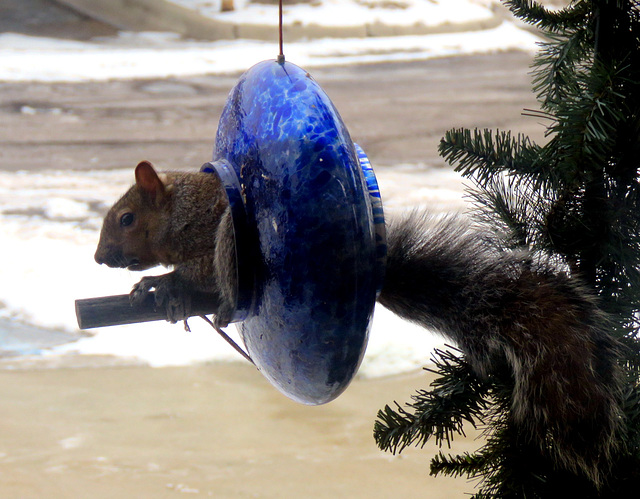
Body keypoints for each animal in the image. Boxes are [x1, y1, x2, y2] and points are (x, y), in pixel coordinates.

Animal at [97, 160, 624, 484]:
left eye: (126, 219)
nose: (99, 258)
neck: (177, 214)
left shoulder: (207, 237)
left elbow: (197, 272)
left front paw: (163, 285)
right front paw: (156, 292)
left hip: (239, 246)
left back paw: (216, 305)